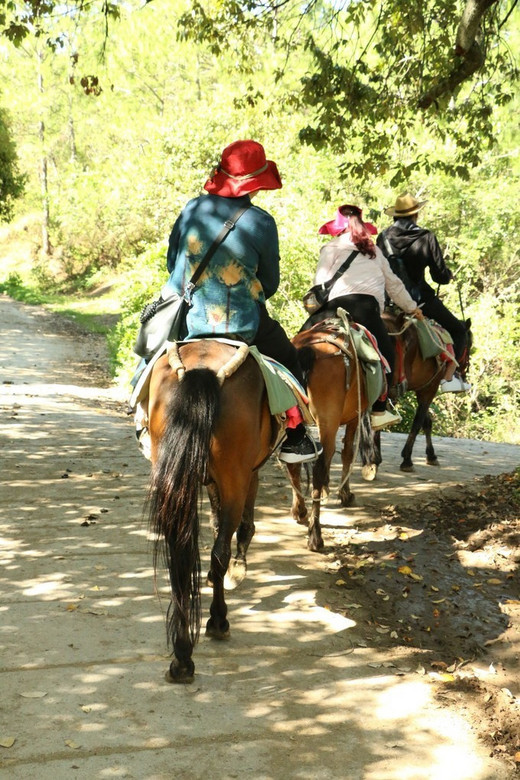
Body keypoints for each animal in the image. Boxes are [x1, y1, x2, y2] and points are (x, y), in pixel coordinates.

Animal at [146, 338, 276, 680]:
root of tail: (202, 369)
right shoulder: (247, 475)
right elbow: (240, 528)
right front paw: (238, 569)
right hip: (234, 477)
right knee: (220, 552)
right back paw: (218, 621)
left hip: (175, 476)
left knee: (178, 556)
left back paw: (181, 657)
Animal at [284, 320, 374, 552]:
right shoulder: (354, 418)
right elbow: (347, 453)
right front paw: (345, 495)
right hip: (328, 420)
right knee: (318, 467)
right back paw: (315, 536)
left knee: (293, 464)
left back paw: (300, 511)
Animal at [362, 312, 472, 476]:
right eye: (469, 344)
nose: (464, 373)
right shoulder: (429, 388)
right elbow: (418, 422)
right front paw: (407, 459)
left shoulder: (421, 388)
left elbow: (426, 421)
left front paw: (431, 455)